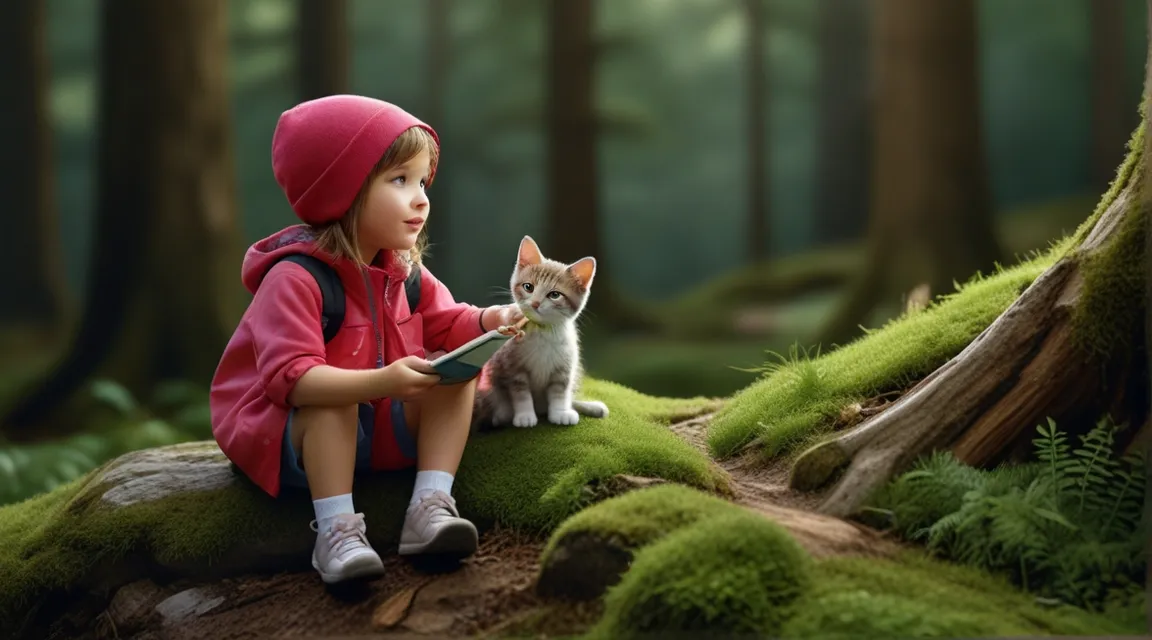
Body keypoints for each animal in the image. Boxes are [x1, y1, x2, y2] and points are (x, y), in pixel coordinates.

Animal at [470, 234, 608, 430]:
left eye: (554, 295)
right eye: (528, 287)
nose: (535, 303)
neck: (543, 331)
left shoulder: (564, 366)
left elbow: (560, 392)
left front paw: (560, 412)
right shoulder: (512, 365)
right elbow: (520, 392)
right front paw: (525, 415)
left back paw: (591, 407)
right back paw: (501, 415)